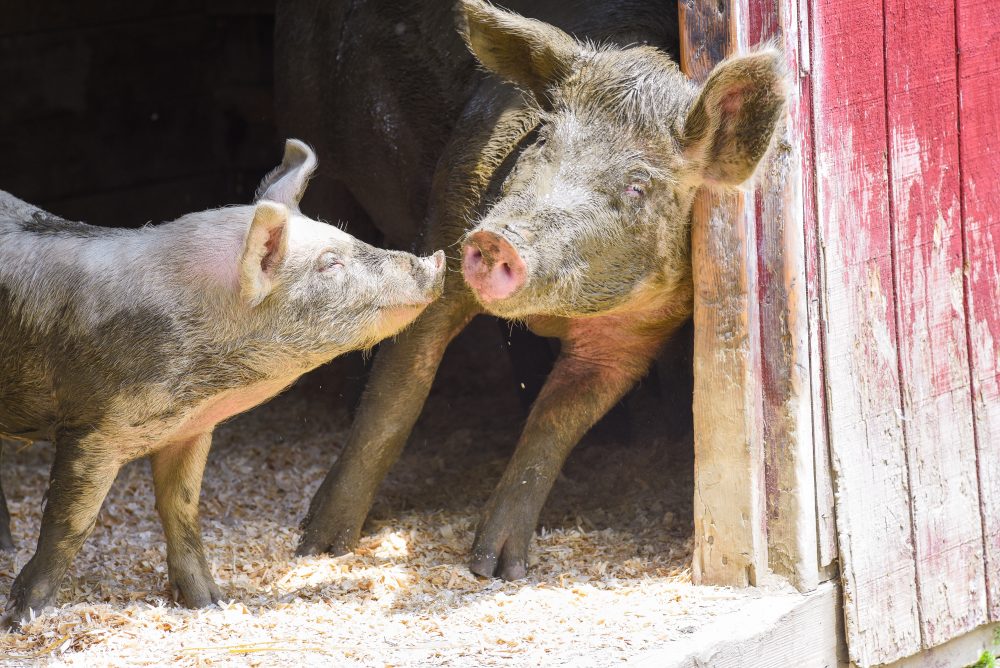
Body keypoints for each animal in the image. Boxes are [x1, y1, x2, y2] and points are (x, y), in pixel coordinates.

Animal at [0, 140, 446, 628]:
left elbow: (182, 512)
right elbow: (69, 523)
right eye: (330, 263)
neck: (208, 380)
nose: (437, 259)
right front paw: (22, 617)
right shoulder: (91, 428)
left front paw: (212, 604)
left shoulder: (190, 430)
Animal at [290, 0, 788, 580]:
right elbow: (395, 396)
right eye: (544, 140)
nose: (495, 238)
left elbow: (554, 426)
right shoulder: (448, 221)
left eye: (637, 186)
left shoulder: (636, 334)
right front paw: (318, 547)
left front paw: (496, 570)